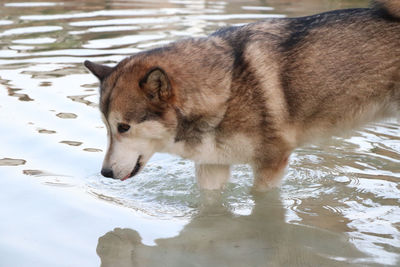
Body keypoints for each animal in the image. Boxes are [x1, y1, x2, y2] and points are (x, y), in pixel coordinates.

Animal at [85, 0, 400, 193]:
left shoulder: (271, 165)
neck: (226, 90)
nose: (105, 173)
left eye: (124, 127)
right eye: (107, 128)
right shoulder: (212, 167)